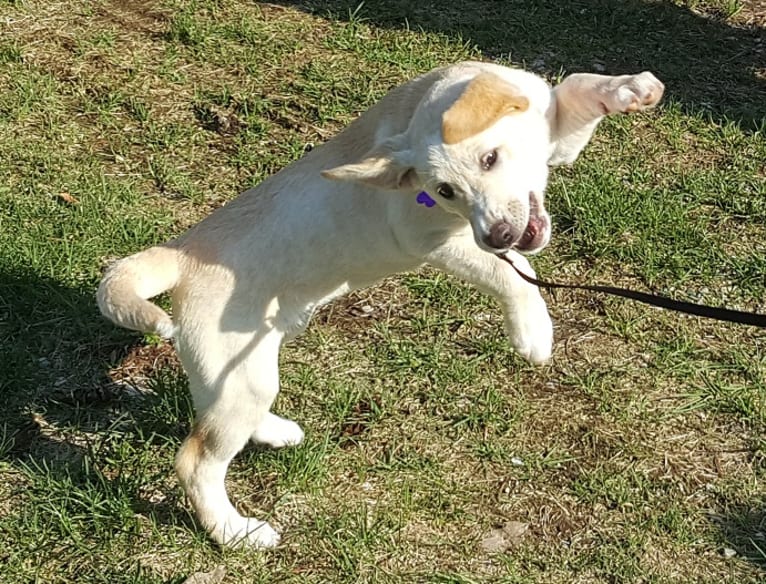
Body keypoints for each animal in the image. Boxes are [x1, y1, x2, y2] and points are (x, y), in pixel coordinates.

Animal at [99, 60, 664, 548]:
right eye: (443, 191)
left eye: (490, 159)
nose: (499, 235)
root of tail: (181, 253)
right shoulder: (432, 240)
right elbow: (513, 277)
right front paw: (533, 332)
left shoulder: (553, 136)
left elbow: (575, 89)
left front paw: (630, 89)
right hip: (237, 373)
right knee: (195, 460)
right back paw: (235, 532)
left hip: (239, 367)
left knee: (216, 414)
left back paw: (274, 431)